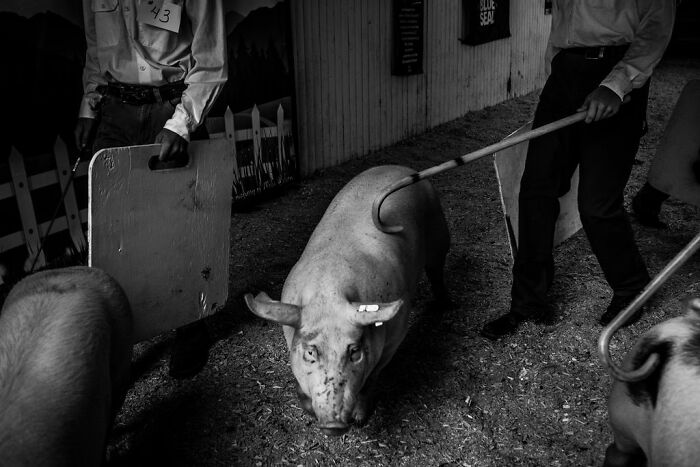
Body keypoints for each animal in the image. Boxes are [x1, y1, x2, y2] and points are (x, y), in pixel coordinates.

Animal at [245, 165, 451, 436]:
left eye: (354, 351)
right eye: (310, 352)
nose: (333, 424)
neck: (328, 293)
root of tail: (404, 169)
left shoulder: (395, 336)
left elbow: (370, 380)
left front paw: (361, 420)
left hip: (439, 232)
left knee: (437, 271)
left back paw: (444, 305)